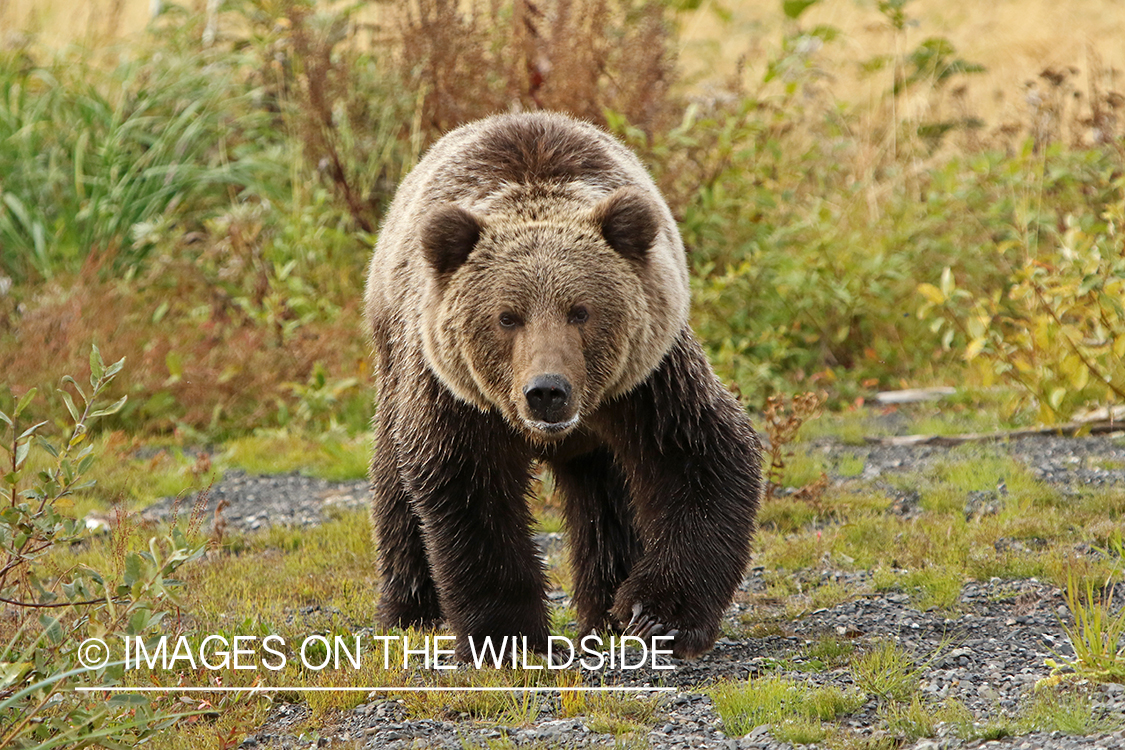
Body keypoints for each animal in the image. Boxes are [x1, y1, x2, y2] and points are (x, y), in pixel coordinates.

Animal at [364, 108, 760, 661]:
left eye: (580, 311)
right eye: (507, 317)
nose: (546, 391)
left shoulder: (647, 382)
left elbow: (702, 457)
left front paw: (654, 614)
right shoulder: (458, 398)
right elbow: (467, 489)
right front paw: (508, 634)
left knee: (605, 497)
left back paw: (606, 607)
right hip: (397, 354)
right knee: (395, 480)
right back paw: (411, 610)